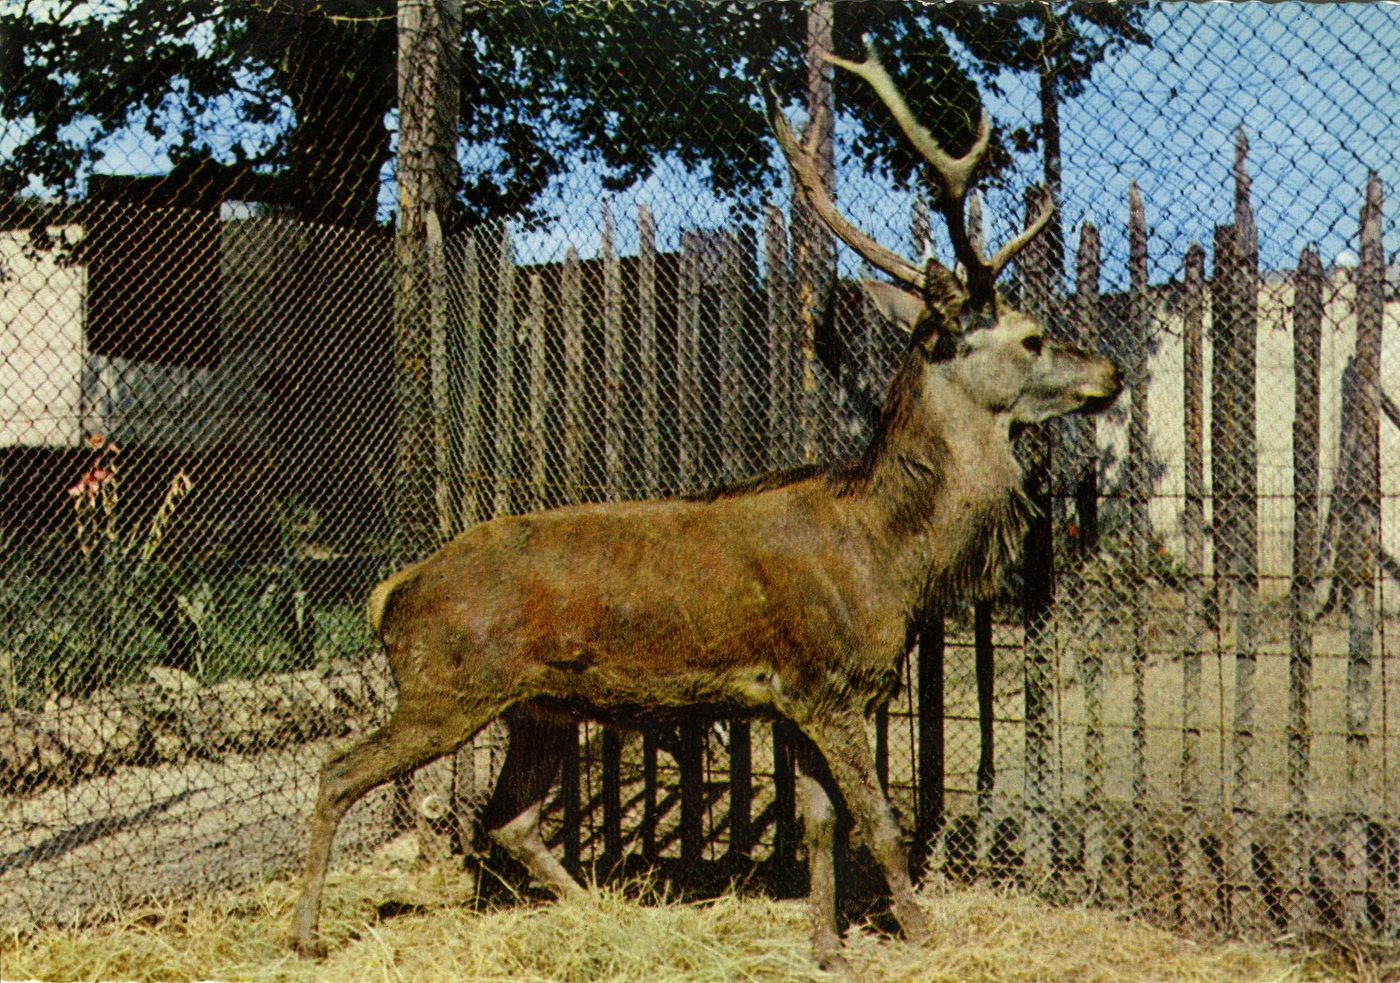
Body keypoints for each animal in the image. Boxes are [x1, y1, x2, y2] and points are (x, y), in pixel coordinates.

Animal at [291, 37, 1121, 971]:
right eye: (1032, 336)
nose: (1112, 370)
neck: (890, 553)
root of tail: (390, 592)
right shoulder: (835, 682)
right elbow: (878, 822)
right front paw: (921, 931)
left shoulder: (795, 695)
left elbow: (819, 823)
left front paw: (826, 945)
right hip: (447, 683)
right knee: (338, 771)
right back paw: (305, 931)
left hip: (538, 704)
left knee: (512, 818)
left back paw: (608, 913)